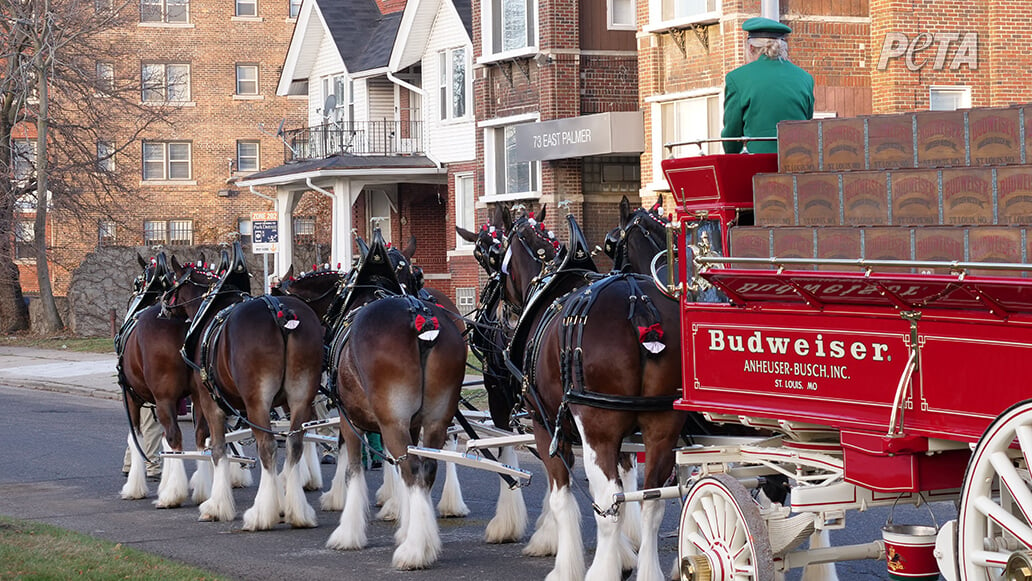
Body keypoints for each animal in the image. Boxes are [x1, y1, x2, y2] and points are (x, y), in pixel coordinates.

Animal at [163, 249, 324, 532]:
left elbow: (217, 449)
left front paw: (217, 506)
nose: (162, 307)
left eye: (172, 282)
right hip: (300, 398)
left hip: (257, 400)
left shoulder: (211, 402)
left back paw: (261, 514)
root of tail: (280, 312)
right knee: (294, 445)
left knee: (267, 447)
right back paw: (298, 512)